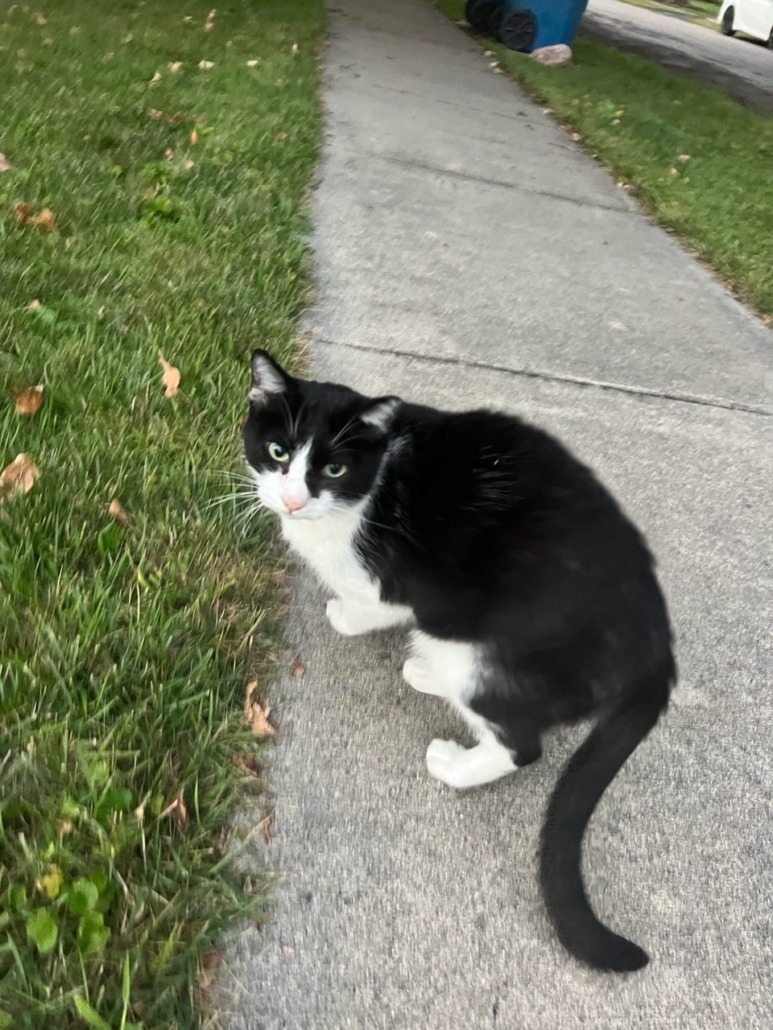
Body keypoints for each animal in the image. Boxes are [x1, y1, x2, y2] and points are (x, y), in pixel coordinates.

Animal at [242, 348, 676, 973]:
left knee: (520, 742)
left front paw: (342, 614)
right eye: (278, 451)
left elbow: (367, 607)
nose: (294, 500)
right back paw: (426, 672)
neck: (371, 488)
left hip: (486, 656)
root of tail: (656, 649)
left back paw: (454, 757)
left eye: (335, 470)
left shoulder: (394, 583)